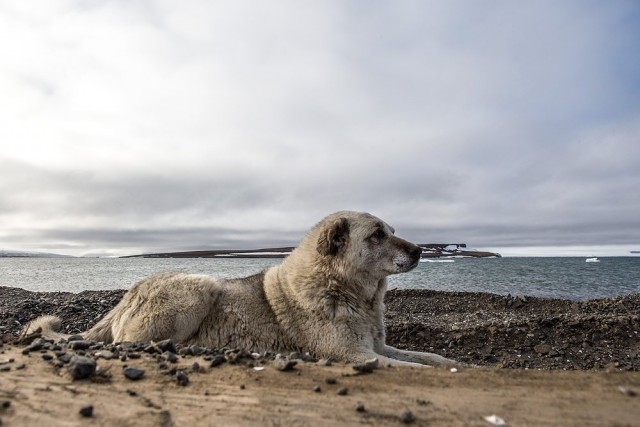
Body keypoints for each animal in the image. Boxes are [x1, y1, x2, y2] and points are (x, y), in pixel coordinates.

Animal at [26, 212, 456, 370]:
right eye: (377, 234)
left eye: (392, 230)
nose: (420, 250)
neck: (348, 290)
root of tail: (129, 293)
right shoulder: (356, 355)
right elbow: (416, 369)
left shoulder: (379, 347)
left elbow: (428, 357)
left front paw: (449, 361)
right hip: (199, 287)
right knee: (129, 343)